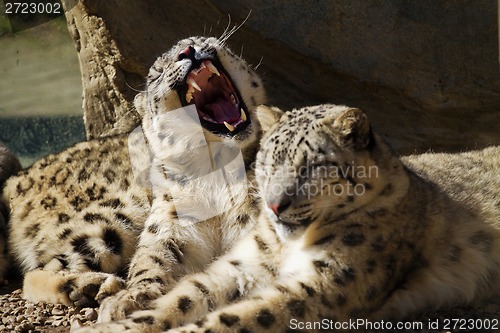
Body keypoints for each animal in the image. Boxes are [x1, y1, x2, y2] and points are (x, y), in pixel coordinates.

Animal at [1, 36, 268, 314]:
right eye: (157, 73)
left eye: (202, 40)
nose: (188, 51)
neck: (218, 170)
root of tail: (16, 179)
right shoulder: (169, 227)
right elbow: (151, 260)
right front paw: (132, 297)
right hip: (111, 220)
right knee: (38, 271)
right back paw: (91, 286)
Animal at [75, 104, 500, 332]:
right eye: (270, 159)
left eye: (312, 166)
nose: (276, 204)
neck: (286, 247)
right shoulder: (242, 265)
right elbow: (184, 296)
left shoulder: (323, 284)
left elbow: (240, 317)